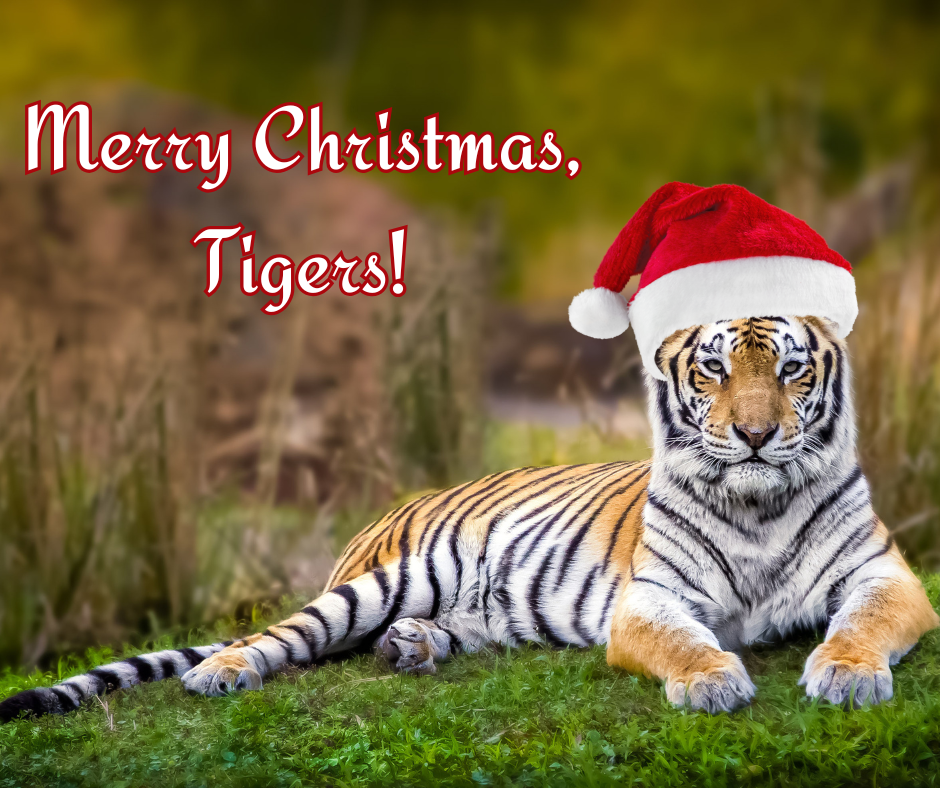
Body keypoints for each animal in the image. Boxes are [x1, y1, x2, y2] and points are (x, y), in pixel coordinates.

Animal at [2, 314, 937, 722]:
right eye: (711, 371)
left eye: (789, 370)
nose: (753, 434)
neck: (757, 502)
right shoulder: (652, 597)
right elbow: (684, 640)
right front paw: (712, 681)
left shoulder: (885, 575)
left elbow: (862, 623)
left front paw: (847, 675)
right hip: (383, 581)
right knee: (282, 636)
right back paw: (225, 671)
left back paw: (413, 648)